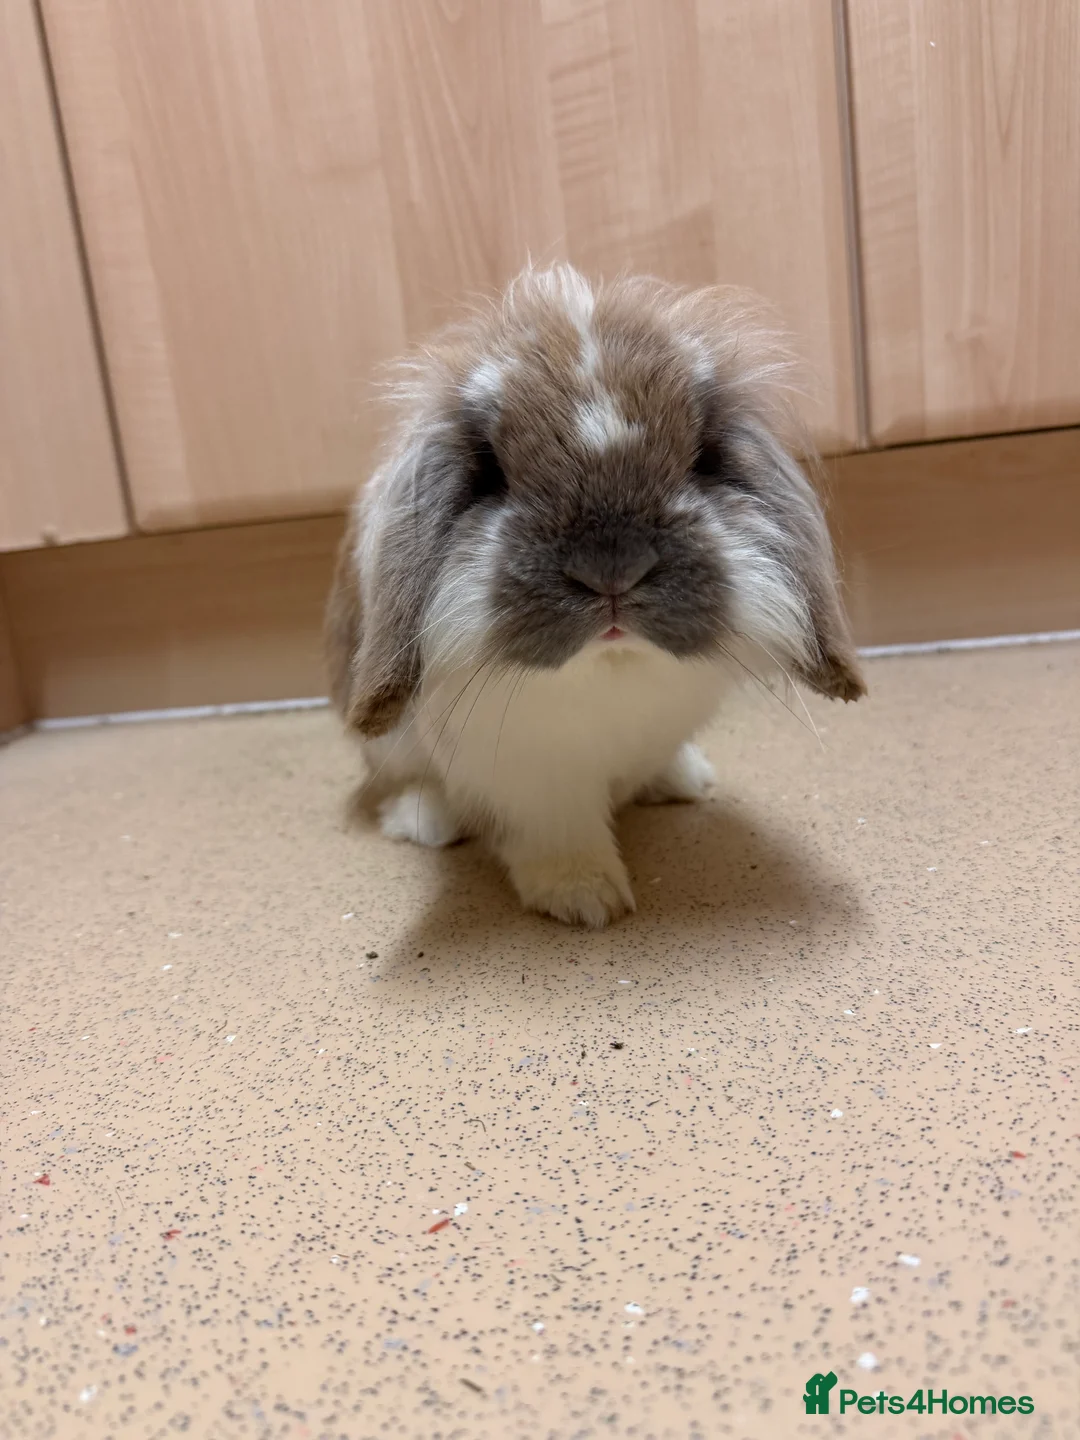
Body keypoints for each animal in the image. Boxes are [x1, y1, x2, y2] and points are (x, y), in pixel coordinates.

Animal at [326, 263, 864, 927]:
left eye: (706, 455)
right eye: (488, 471)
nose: (612, 568)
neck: (610, 665)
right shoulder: (531, 777)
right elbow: (558, 833)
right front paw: (585, 900)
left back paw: (681, 780)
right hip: (394, 751)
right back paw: (426, 822)